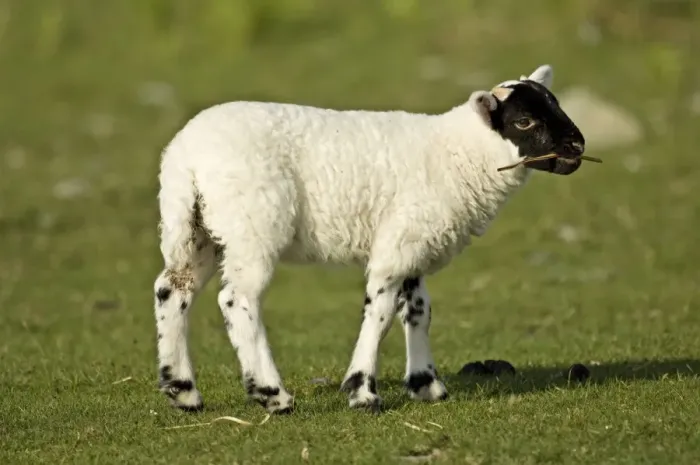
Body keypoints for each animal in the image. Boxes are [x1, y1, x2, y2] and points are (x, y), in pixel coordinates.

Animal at [152, 64, 587, 414]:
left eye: (555, 104)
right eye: (525, 121)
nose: (578, 146)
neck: (461, 156)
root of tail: (184, 157)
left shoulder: (413, 240)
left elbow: (418, 310)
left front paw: (426, 385)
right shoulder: (397, 248)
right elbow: (380, 313)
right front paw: (362, 392)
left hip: (198, 229)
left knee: (172, 290)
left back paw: (183, 391)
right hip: (253, 223)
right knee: (237, 300)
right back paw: (272, 394)